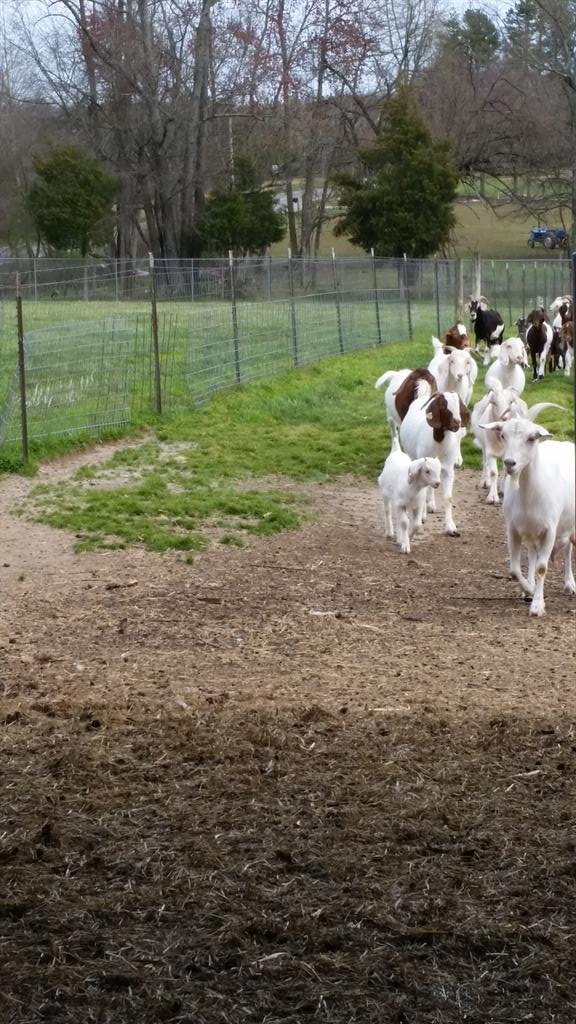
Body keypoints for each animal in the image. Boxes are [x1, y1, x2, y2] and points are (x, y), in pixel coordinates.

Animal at [399, 385, 469, 537]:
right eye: (443, 405)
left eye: (459, 404)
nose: (457, 423)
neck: (438, 443)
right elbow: (423, 490)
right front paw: (422, 516)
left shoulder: (448, 469)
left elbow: (448, 497)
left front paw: (451, 527)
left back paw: (431, 504)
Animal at [478, 417, 575, 616]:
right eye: (502, 435)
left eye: (531, 438)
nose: (509, 463)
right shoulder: (513, 530)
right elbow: (514, 570)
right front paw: (530, 590)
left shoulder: (550, 530)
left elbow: (542, 567)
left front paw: (537, 605)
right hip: (532, 531)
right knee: (532, 554)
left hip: (567, 524)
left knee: (568, 550)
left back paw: (569, 584)